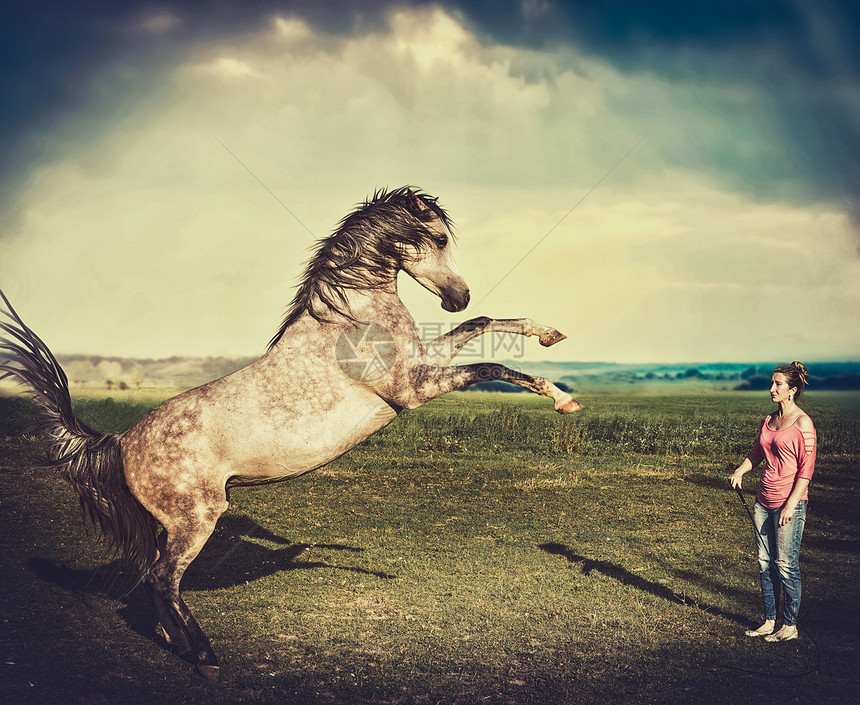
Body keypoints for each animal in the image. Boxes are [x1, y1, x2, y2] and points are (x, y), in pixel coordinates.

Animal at [0, 186, 580, 676]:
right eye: (438, 238)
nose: (458, 296)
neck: (352, 320)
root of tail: (120, 444)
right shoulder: (413, 388)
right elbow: (493, 367)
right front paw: (562, 398)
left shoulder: (427, 362)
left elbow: (482, 326)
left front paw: (548, 334)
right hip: (197, 520)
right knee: (163, 581)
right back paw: (205, 657)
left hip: (173, 526)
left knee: (156, 583)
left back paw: (175, 643)